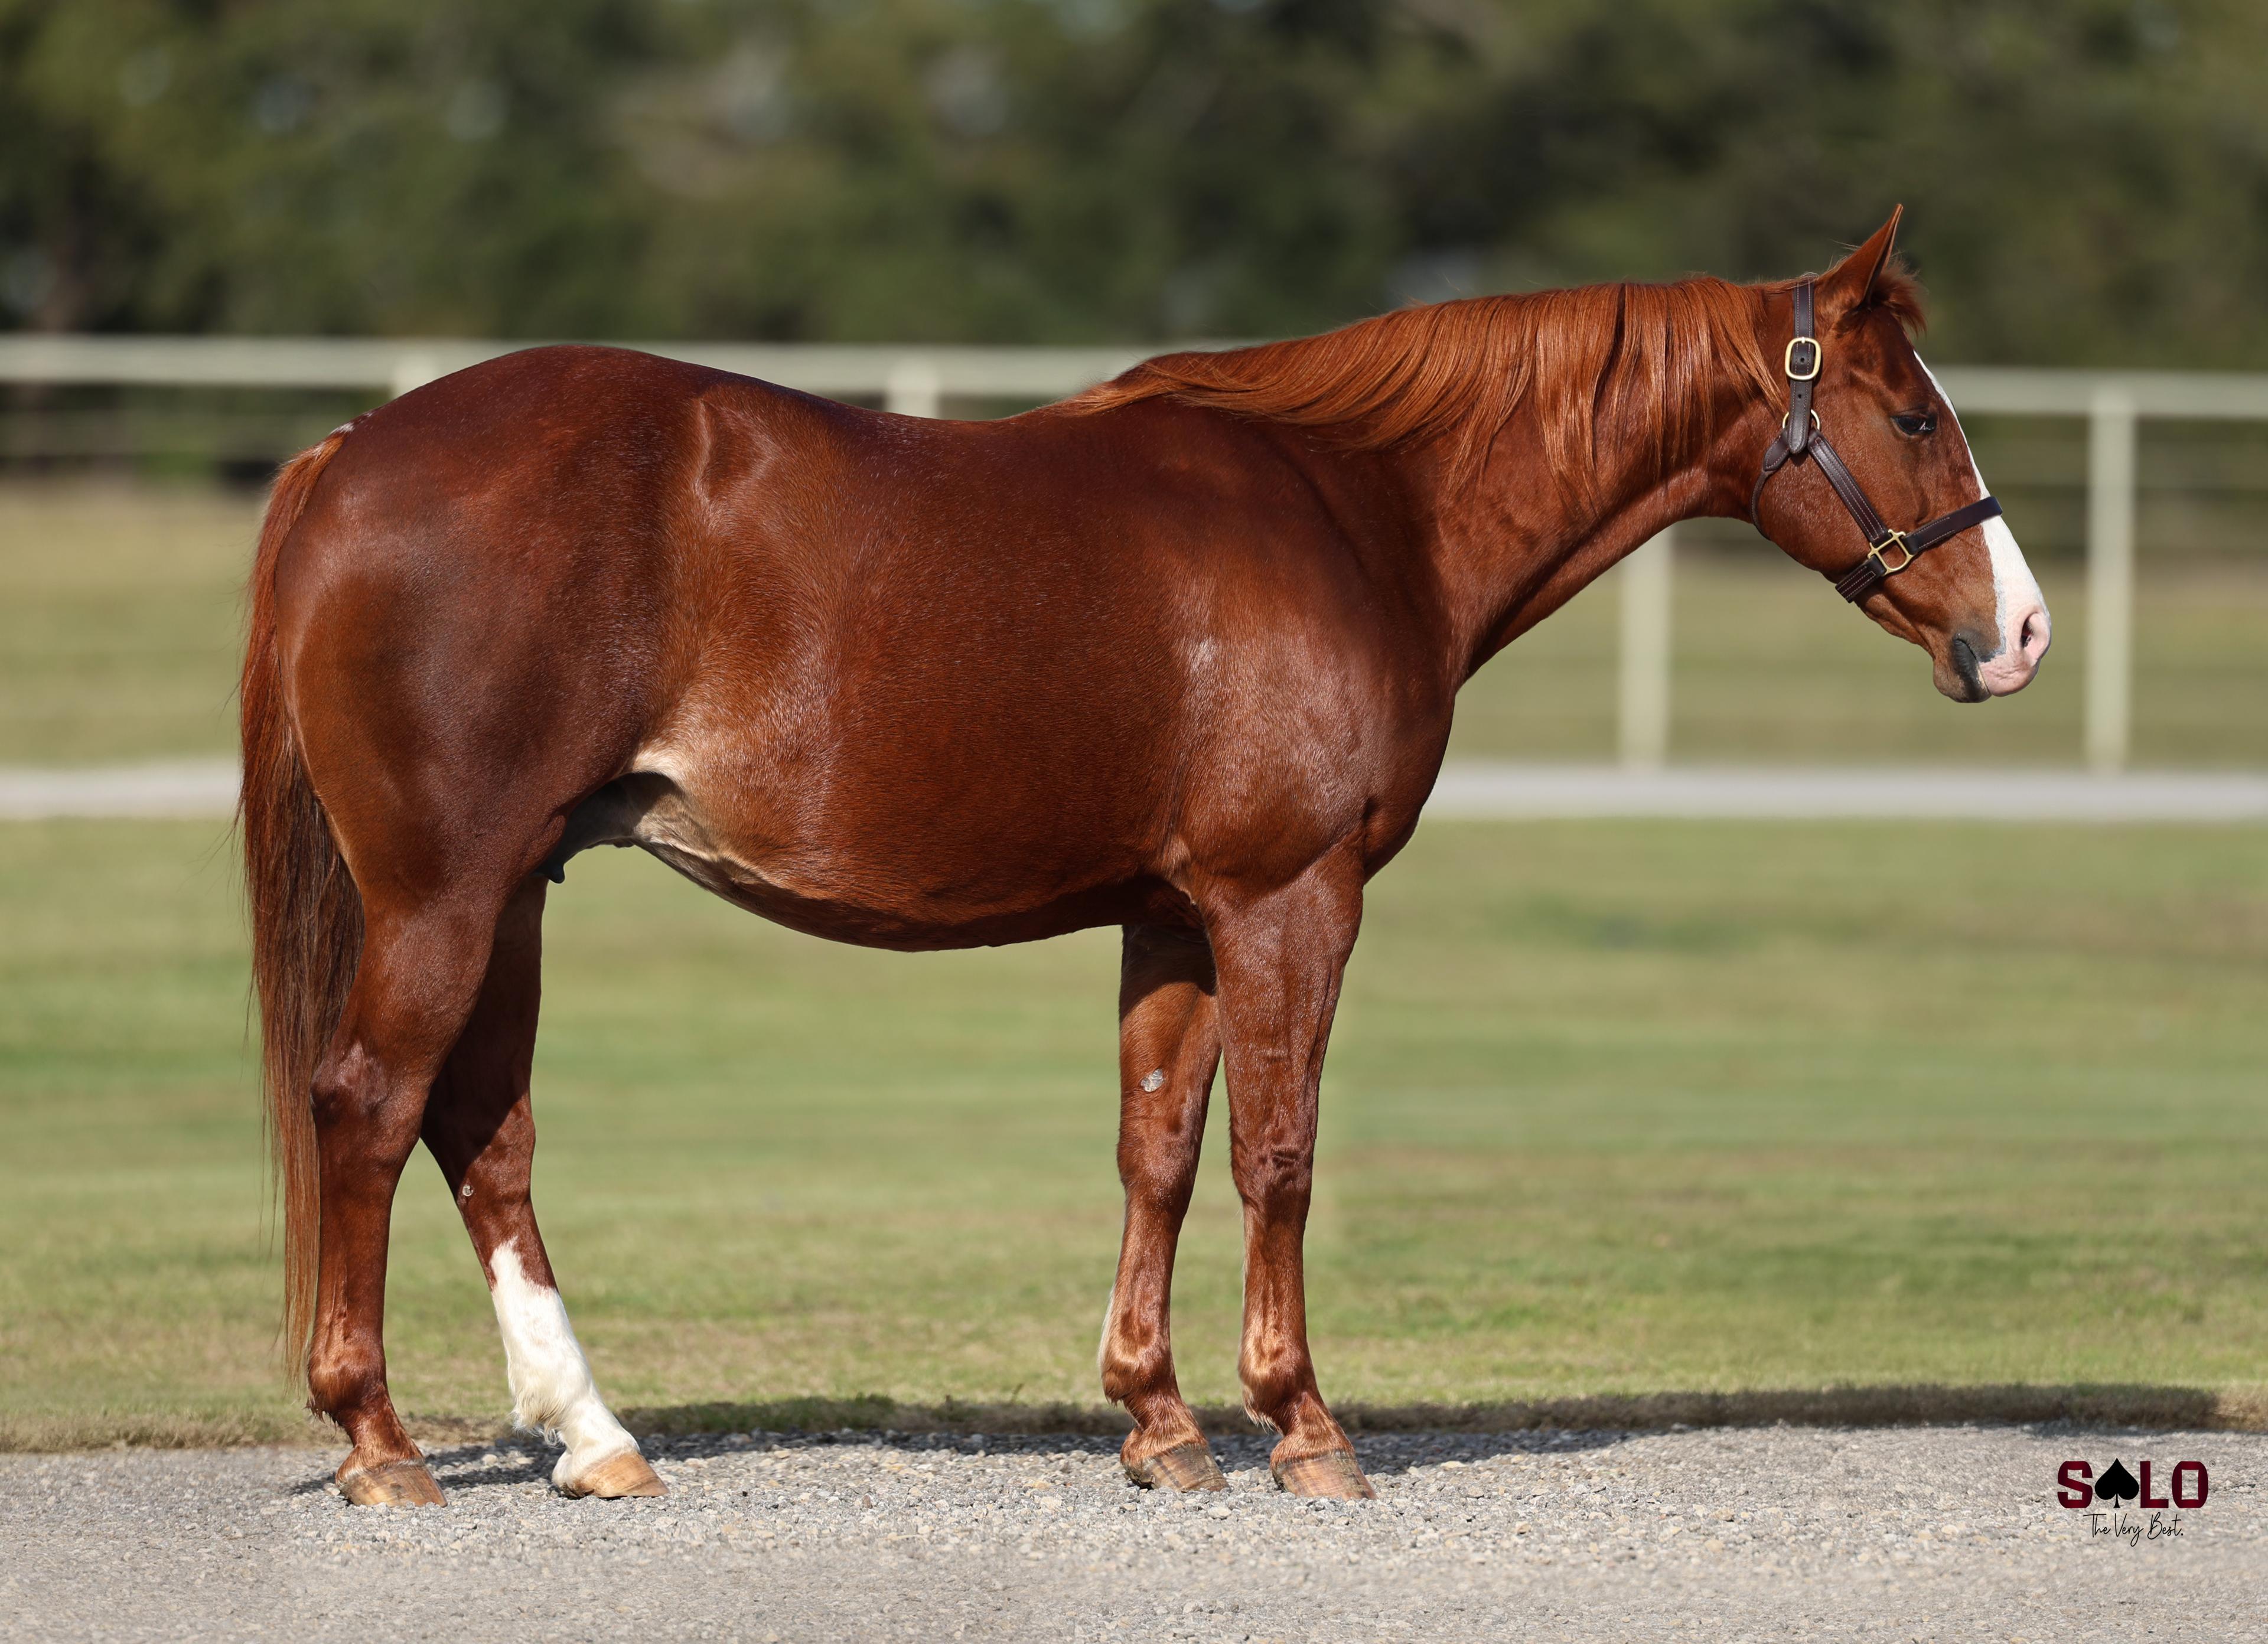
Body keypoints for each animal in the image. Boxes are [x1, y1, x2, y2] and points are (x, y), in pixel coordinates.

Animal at [241, 208, 2049, 1507]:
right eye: (1909, 411)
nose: (2018, 631)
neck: (1358, 507)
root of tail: (351, 453)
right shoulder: (1288, 898)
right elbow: (1280, 1154)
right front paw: (1302, 1424)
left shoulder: (1176, 917)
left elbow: (1160, 1150)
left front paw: (1158, 1419)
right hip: (445, 895)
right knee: (372, 1106)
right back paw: (381, 1444)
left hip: (512, 891)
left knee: (482, 1134)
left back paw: (595, 1437)